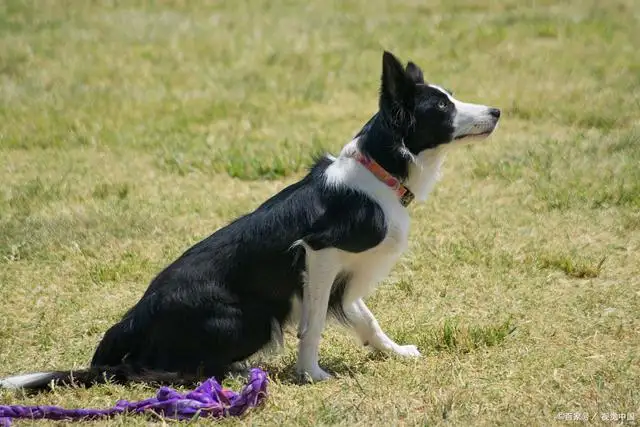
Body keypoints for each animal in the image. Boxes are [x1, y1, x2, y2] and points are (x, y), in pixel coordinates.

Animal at [0, 51, 500, 392]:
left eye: (452, 97)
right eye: (442, 107)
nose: (496, 111)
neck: (380, 171)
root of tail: (133, 318)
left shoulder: (342, 274)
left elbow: (366, 319)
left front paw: (395, 352)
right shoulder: (319, 254)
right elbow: (314, 324)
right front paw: (312, 374)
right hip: (251, 319)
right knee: (143, 371)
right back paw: (234, 374)